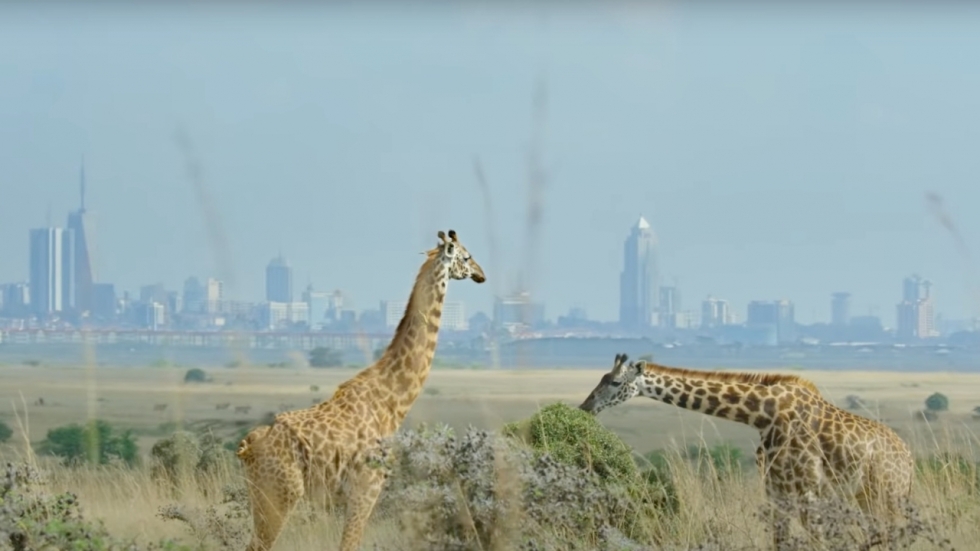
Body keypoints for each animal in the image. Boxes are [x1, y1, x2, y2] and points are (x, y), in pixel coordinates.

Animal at [234, 230, 486, 551]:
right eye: (466, 256)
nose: (481, 274)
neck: (392, 400)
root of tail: (248, 447)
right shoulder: (367, 487)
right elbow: (349, 544)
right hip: (280, 494)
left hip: (261, 493)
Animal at [580, 356, 916, 548]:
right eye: (601, 378)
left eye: (614, 381)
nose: (585, 406)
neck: (763, 414)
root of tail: (909, 460)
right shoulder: (775, 489)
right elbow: (780, 542)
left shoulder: (807, 489)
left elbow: (818, 541)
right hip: (867, 496)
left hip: (888, 494)